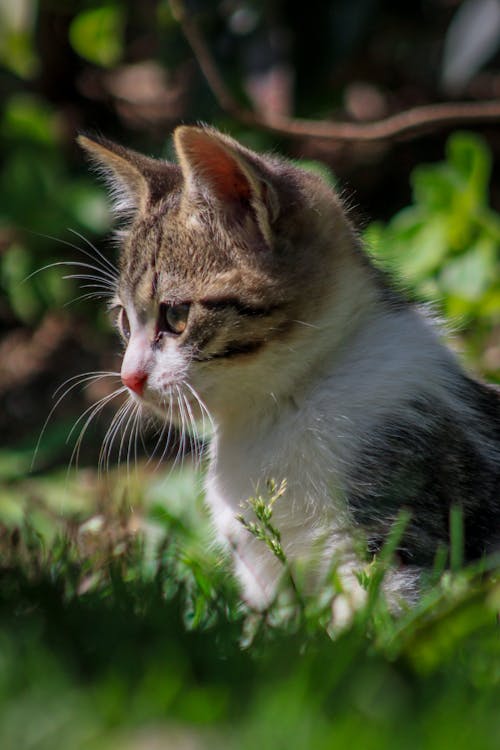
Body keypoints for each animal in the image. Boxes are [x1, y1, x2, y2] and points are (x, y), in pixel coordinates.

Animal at [78, 126, 500, 612]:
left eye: (176, 316)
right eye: (124, 321)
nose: (129, 378)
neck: (278, 409)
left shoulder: (394, 537)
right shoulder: (263, 575)